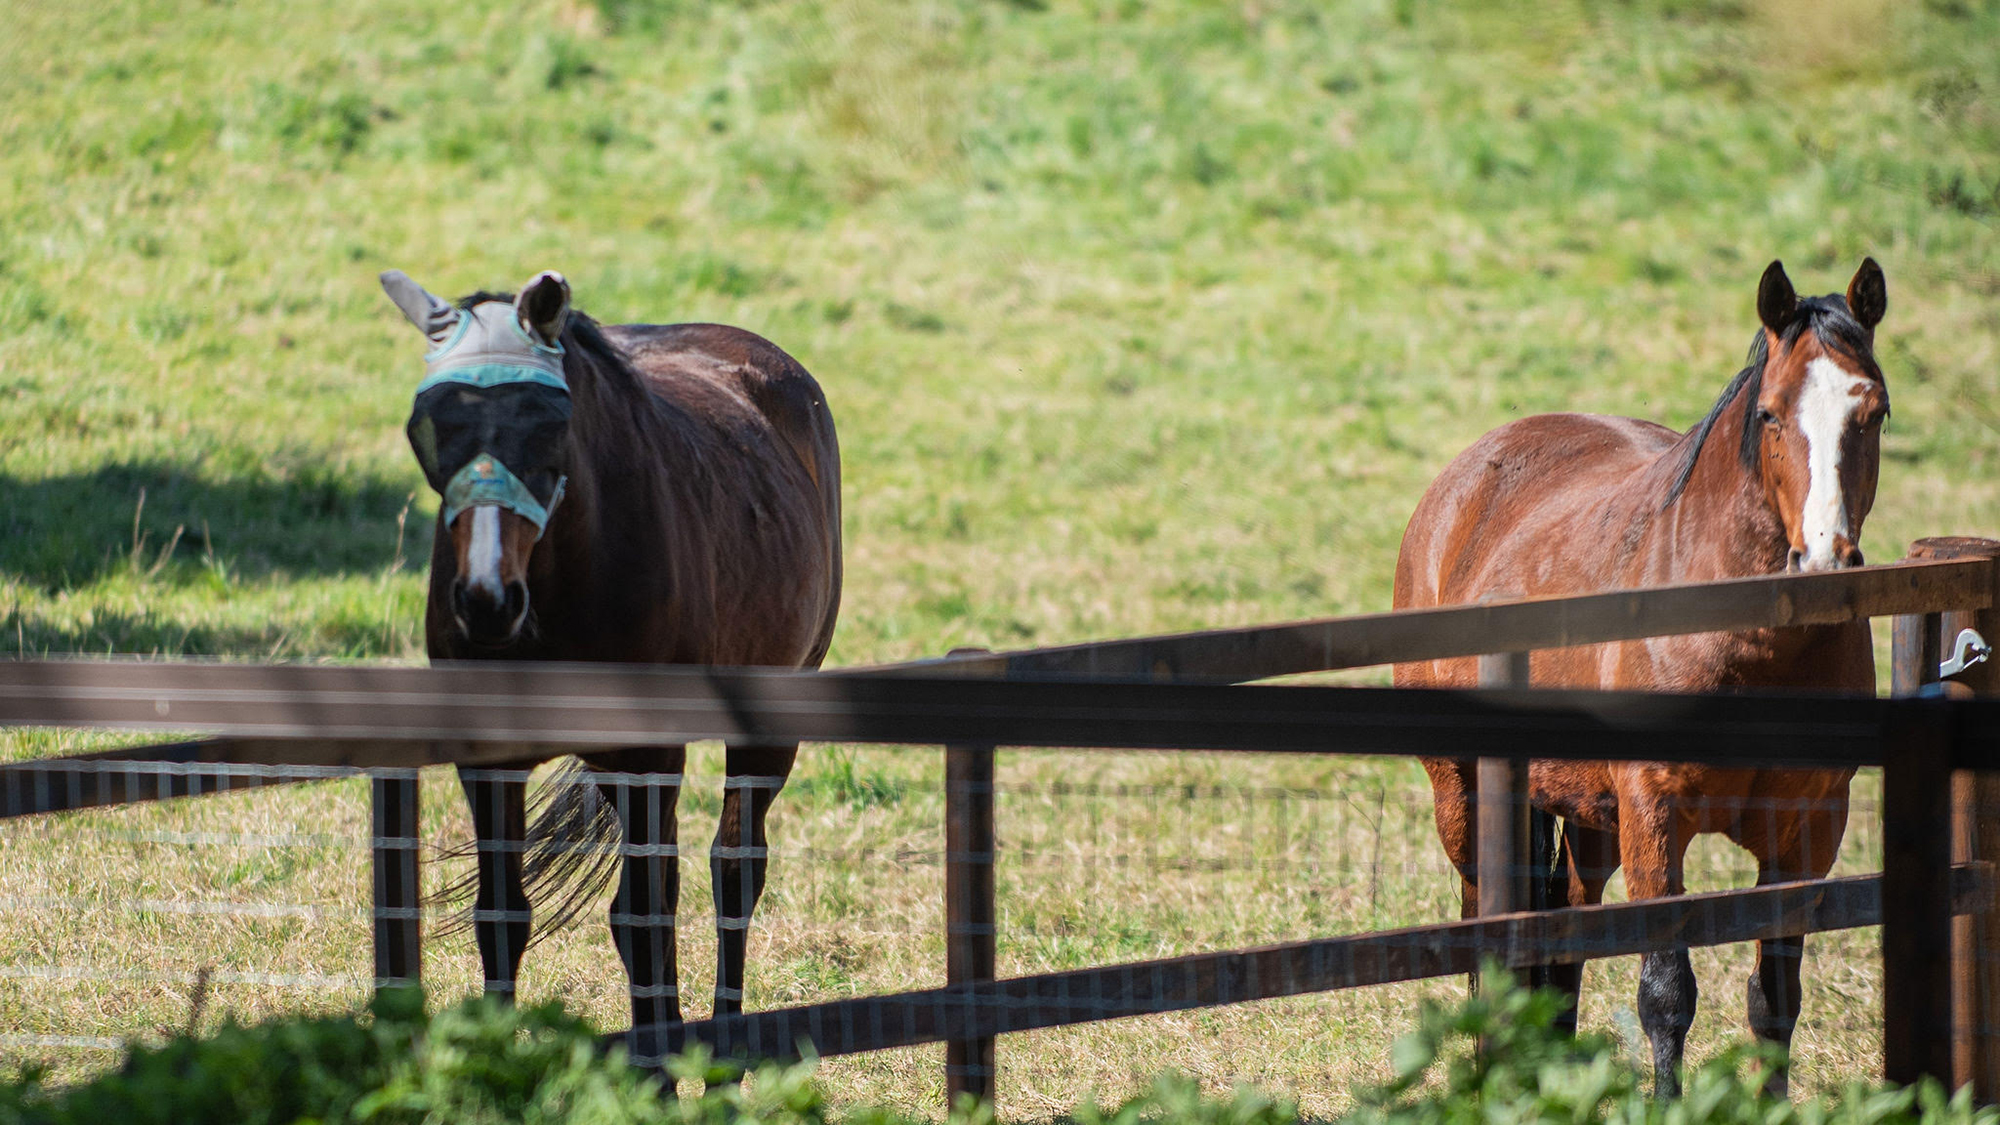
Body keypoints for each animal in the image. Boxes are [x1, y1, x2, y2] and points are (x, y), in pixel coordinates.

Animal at [380, 268, 842, 1059]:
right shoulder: (489, 761)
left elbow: (642, 916)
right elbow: (502, 912)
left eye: (550, 425)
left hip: (768, 718)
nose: (487, 599)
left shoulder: (651, 751)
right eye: (426, 426)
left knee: (734, 868)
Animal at [1392, 259, 1889, 1095]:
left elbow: (1775, 996)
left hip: (1585, 809)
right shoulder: (1654, 815)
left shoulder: (1809, 829)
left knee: (1562, 923)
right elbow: (1667, 992)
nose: (1824, 557)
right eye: (1771, 414)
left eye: (1874, 412)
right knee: (1486, 925)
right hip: (1463, 793)